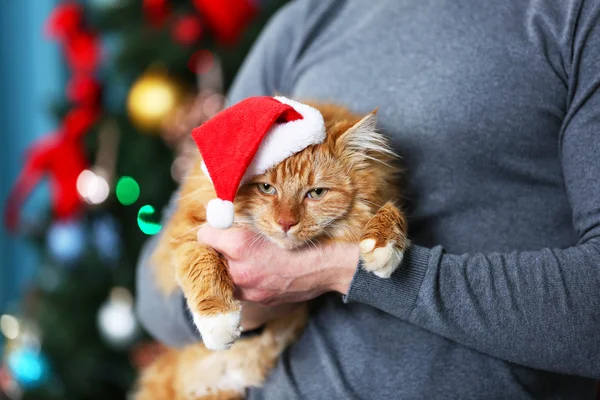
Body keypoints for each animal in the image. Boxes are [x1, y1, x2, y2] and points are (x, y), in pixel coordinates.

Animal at [135, 102, 408, 400]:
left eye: (316, 193)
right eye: (266, 188)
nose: (285, 223)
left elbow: (393, 211)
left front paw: (384, 245)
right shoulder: (185, 232)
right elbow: (201, 261)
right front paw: (219, 321)